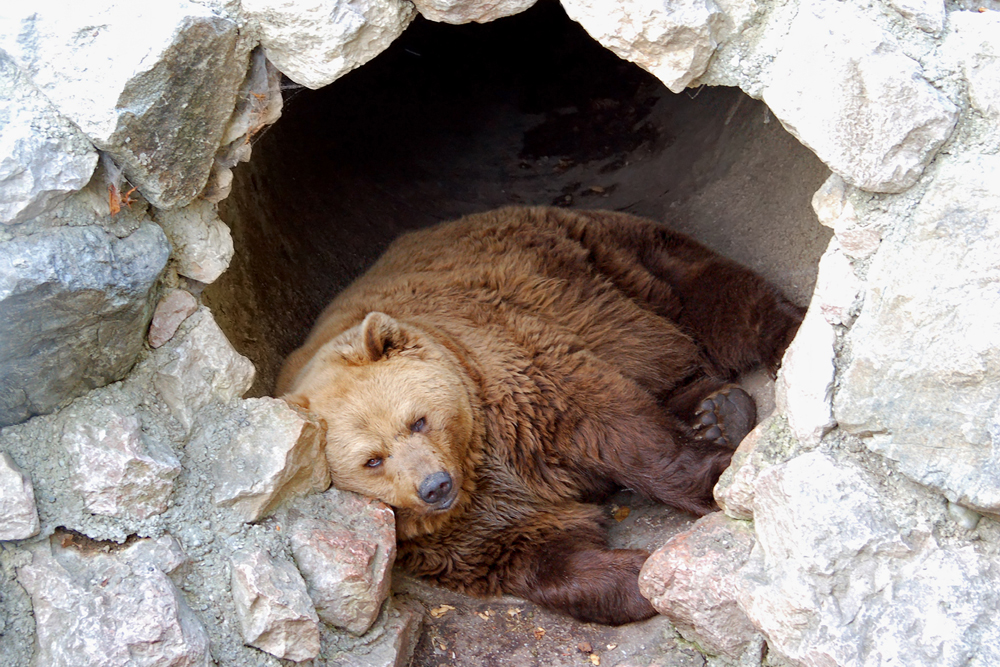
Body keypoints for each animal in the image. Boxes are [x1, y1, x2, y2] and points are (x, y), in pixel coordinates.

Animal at [276, 207, 804, 628]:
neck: (475, 458)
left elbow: (619, 430)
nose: (434, 486)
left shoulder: (518, 383)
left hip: (606, 264)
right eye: (372, 460)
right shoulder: (452, 531)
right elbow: (535, 550)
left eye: (417, 421)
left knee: (714, 297)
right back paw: (717, 411)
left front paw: (714, 479)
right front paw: (634, 575)